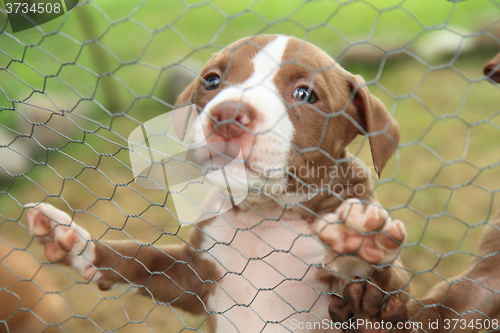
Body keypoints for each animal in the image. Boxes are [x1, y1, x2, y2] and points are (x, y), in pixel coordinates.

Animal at [24, 35, 406, 330]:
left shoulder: (391, 302)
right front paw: (72, 239)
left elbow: (390, 284)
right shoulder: (193, 277)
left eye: (305, 94)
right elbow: (139, 260)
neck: (265, 214)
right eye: (211, 81)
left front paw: (359, 239)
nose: (229, 114)